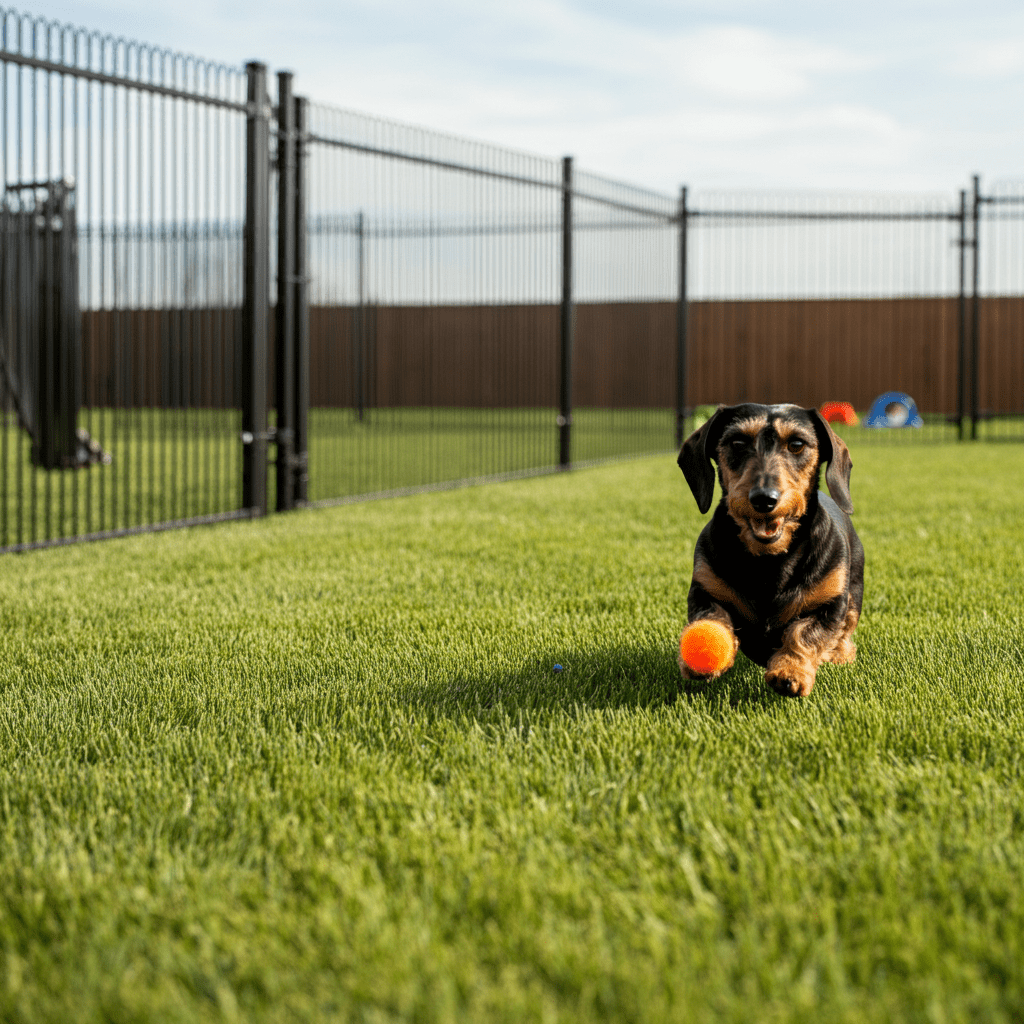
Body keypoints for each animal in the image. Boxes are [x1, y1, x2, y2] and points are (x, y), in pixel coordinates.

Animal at [679, 399, 864, 696]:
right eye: (737, 442)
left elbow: (803, 634)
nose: (764, 499)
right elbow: (713, 617)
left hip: (854, 593)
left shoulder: (830, 605)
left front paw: (790, 671)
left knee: (846, 628)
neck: (769, 561)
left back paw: (840, 653)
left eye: (797, 444)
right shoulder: (704, 591)